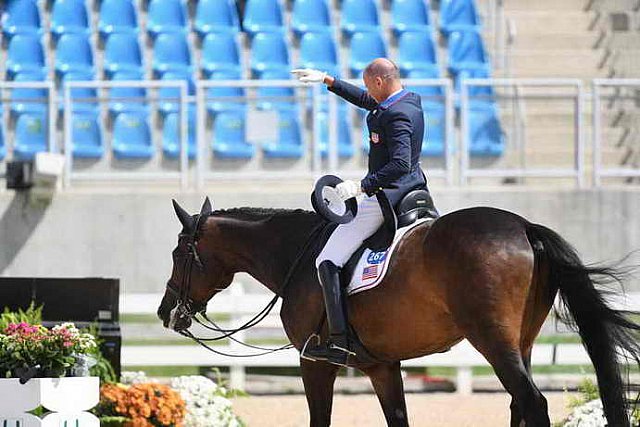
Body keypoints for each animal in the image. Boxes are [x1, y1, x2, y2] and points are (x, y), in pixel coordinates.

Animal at [159, 199, 640, 426]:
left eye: (179, 253)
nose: (167, 312)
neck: (297, 255)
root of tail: (523, 226)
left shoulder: (314, 362)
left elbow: (320, 419)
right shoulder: (382, 366)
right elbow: (397, 419)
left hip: (492, 340)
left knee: (532, 402)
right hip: (521, 341)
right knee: (518, 404)